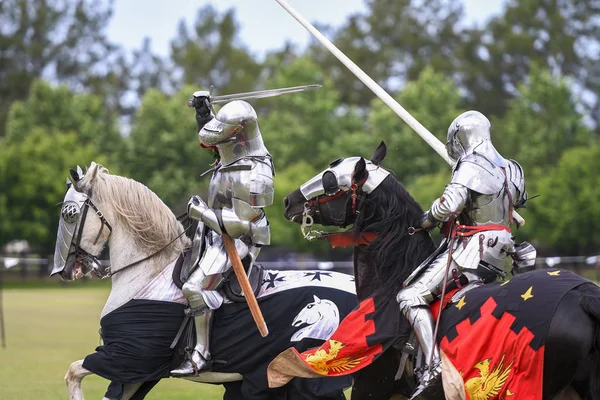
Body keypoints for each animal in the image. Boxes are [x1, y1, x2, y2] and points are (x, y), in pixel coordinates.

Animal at [52, 162, 356, 400]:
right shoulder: (135, 374)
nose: (66, 271)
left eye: (70, 213)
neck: (149, 273)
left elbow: (72, 372)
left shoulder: (125, 358)